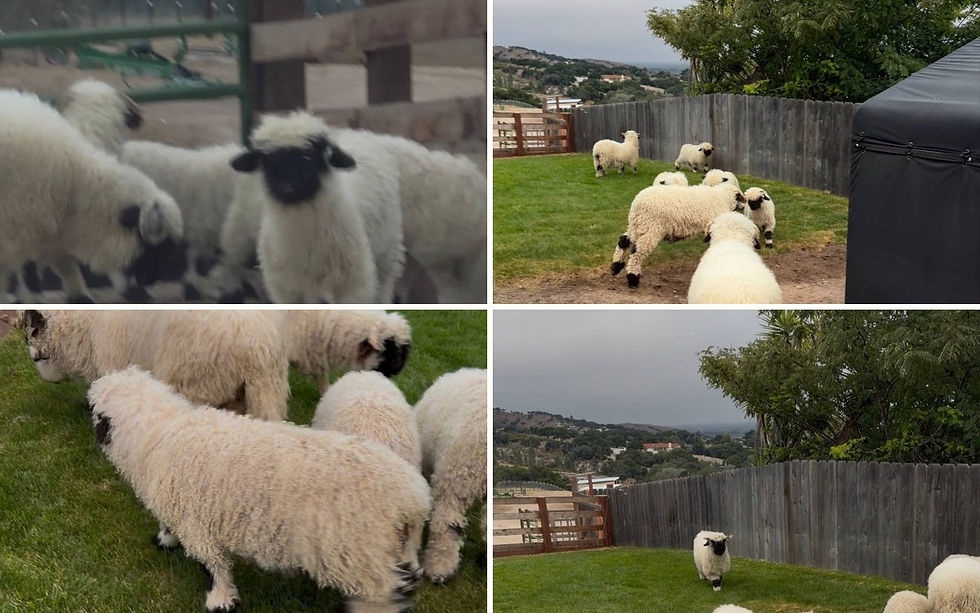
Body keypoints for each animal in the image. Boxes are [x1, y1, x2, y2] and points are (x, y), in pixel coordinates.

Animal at [88, 367, 430, 613]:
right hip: (396, 551)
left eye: (94, 411)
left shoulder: (197, 523)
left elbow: (214, 566)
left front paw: (220, 600)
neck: (159, 434)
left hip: (361, 559)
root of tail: (412, 497)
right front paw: (165, 539)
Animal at [229, 111, 404, 303]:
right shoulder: (287, 290)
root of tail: (359, 133)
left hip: (387, 254)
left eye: (309, 156)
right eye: (266, 161)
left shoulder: (352, 286)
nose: (287, 187)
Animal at [610, 183, 746, 288]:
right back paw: (633, 279)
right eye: (740, 198)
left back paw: (616, 267)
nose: (744, 206)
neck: (723, 198)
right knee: (636, 253)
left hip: (637, 225)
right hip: (651, 228)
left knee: (623, 241)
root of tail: (637, 204)